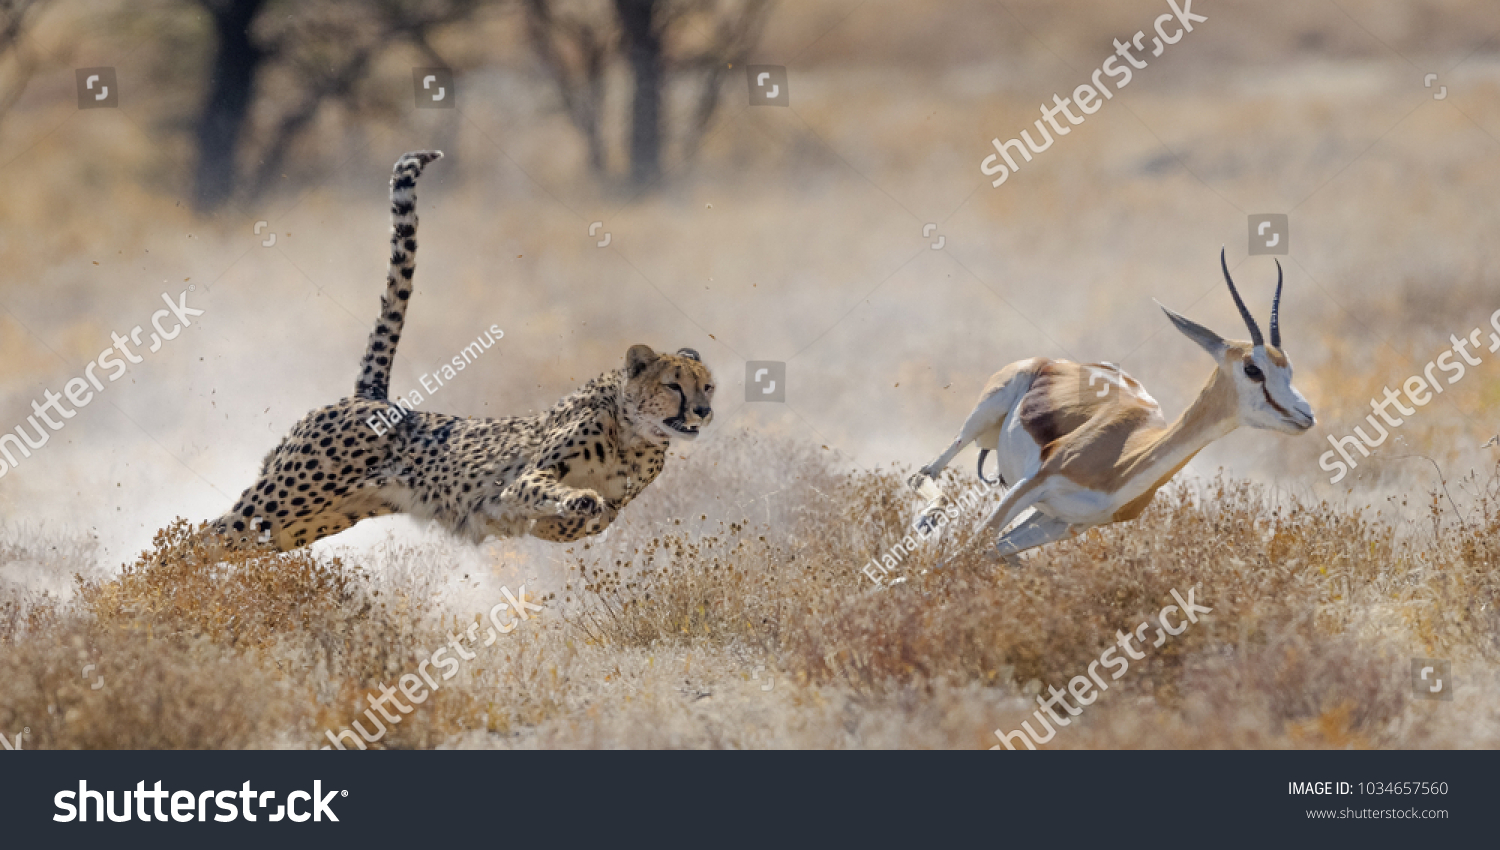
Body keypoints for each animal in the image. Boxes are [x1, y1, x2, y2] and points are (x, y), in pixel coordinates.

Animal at [208, 151, 717, 551]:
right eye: (674, 385)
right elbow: (548, 492)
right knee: (198, 539)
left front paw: (576, 512)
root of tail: (370, 397)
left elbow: (588, 520)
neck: (634, 436)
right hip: (281, 502)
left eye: (708, 386)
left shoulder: (606, 506)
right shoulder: (524, 479)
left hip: (301, 523)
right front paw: (577, 499)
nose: (703, 411)